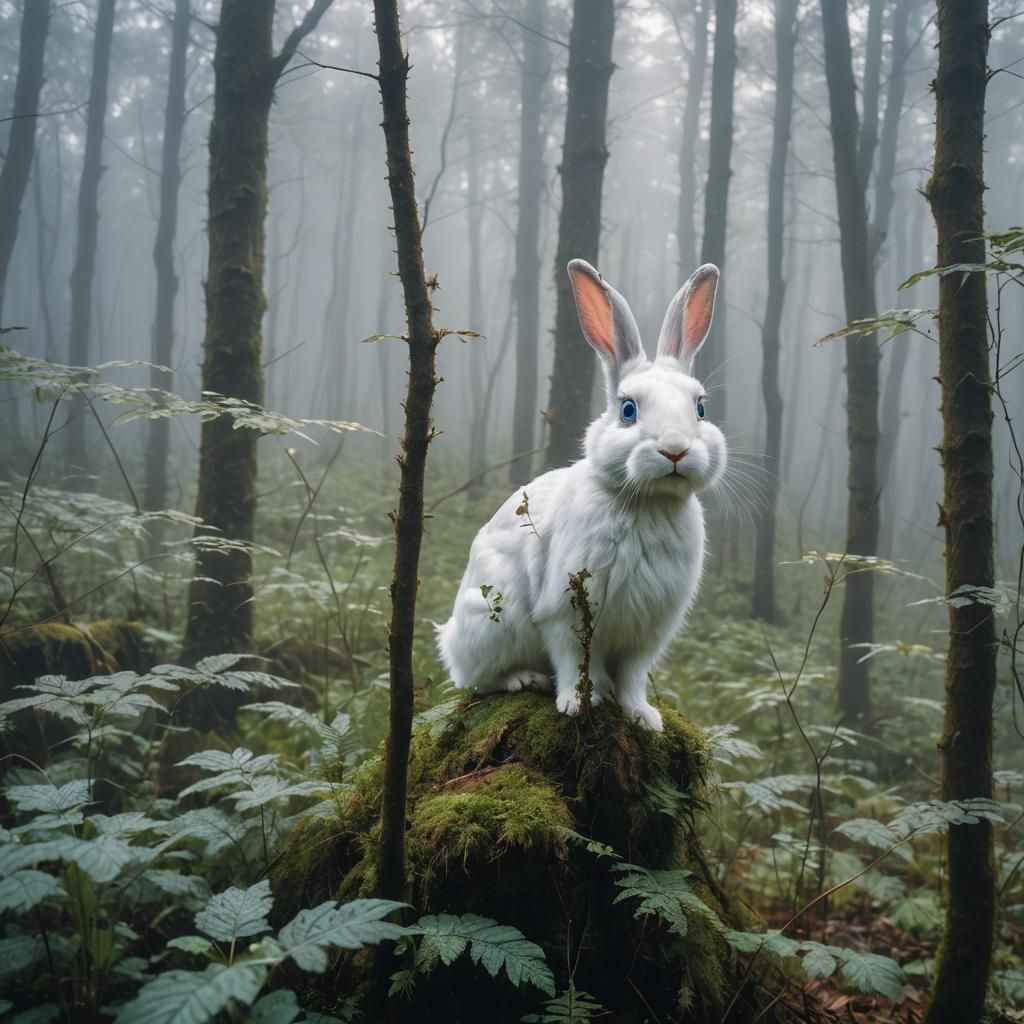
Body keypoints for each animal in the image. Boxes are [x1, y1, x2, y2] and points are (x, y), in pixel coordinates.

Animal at [436, 259, 726, 732]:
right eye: (628, 410)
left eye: (700, 408)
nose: (675, 450)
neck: (647, 500)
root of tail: (450, 639)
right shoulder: (565, 611)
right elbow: (572, 660)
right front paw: (576, 704)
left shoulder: (646, 632)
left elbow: (632, 676)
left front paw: (644, 717)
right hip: (493, 619)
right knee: (479, 679)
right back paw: (525, 678)